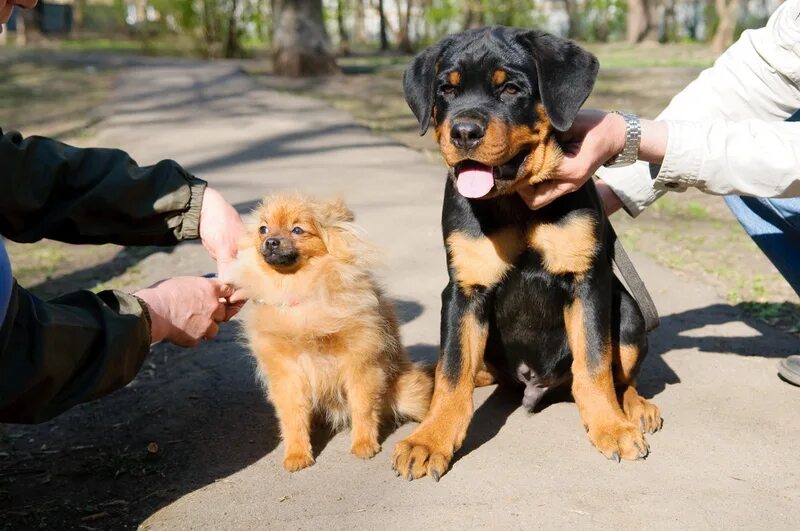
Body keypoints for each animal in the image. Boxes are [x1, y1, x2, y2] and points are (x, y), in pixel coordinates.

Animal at [234, 193, 434, 472]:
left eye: (298, 230)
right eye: (263, 229)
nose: (270, 241)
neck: (298, 288)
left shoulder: (360, 363)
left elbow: (363, 406)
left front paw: (363, 443)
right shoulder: (287, 374)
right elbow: (292, 418)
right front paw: (296, 453)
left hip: (407, 393)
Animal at [394, 27, 664, 482]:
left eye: (511, 89)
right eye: (446, 90)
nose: (463, 132)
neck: (514, 202)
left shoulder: (587, 281)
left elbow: (594, 363)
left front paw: (611, 428)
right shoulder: (464, 290)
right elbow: (453, 372)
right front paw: (429, 440)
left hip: (628, 314)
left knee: (618, 375)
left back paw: (635, 408)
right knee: (460, 370)